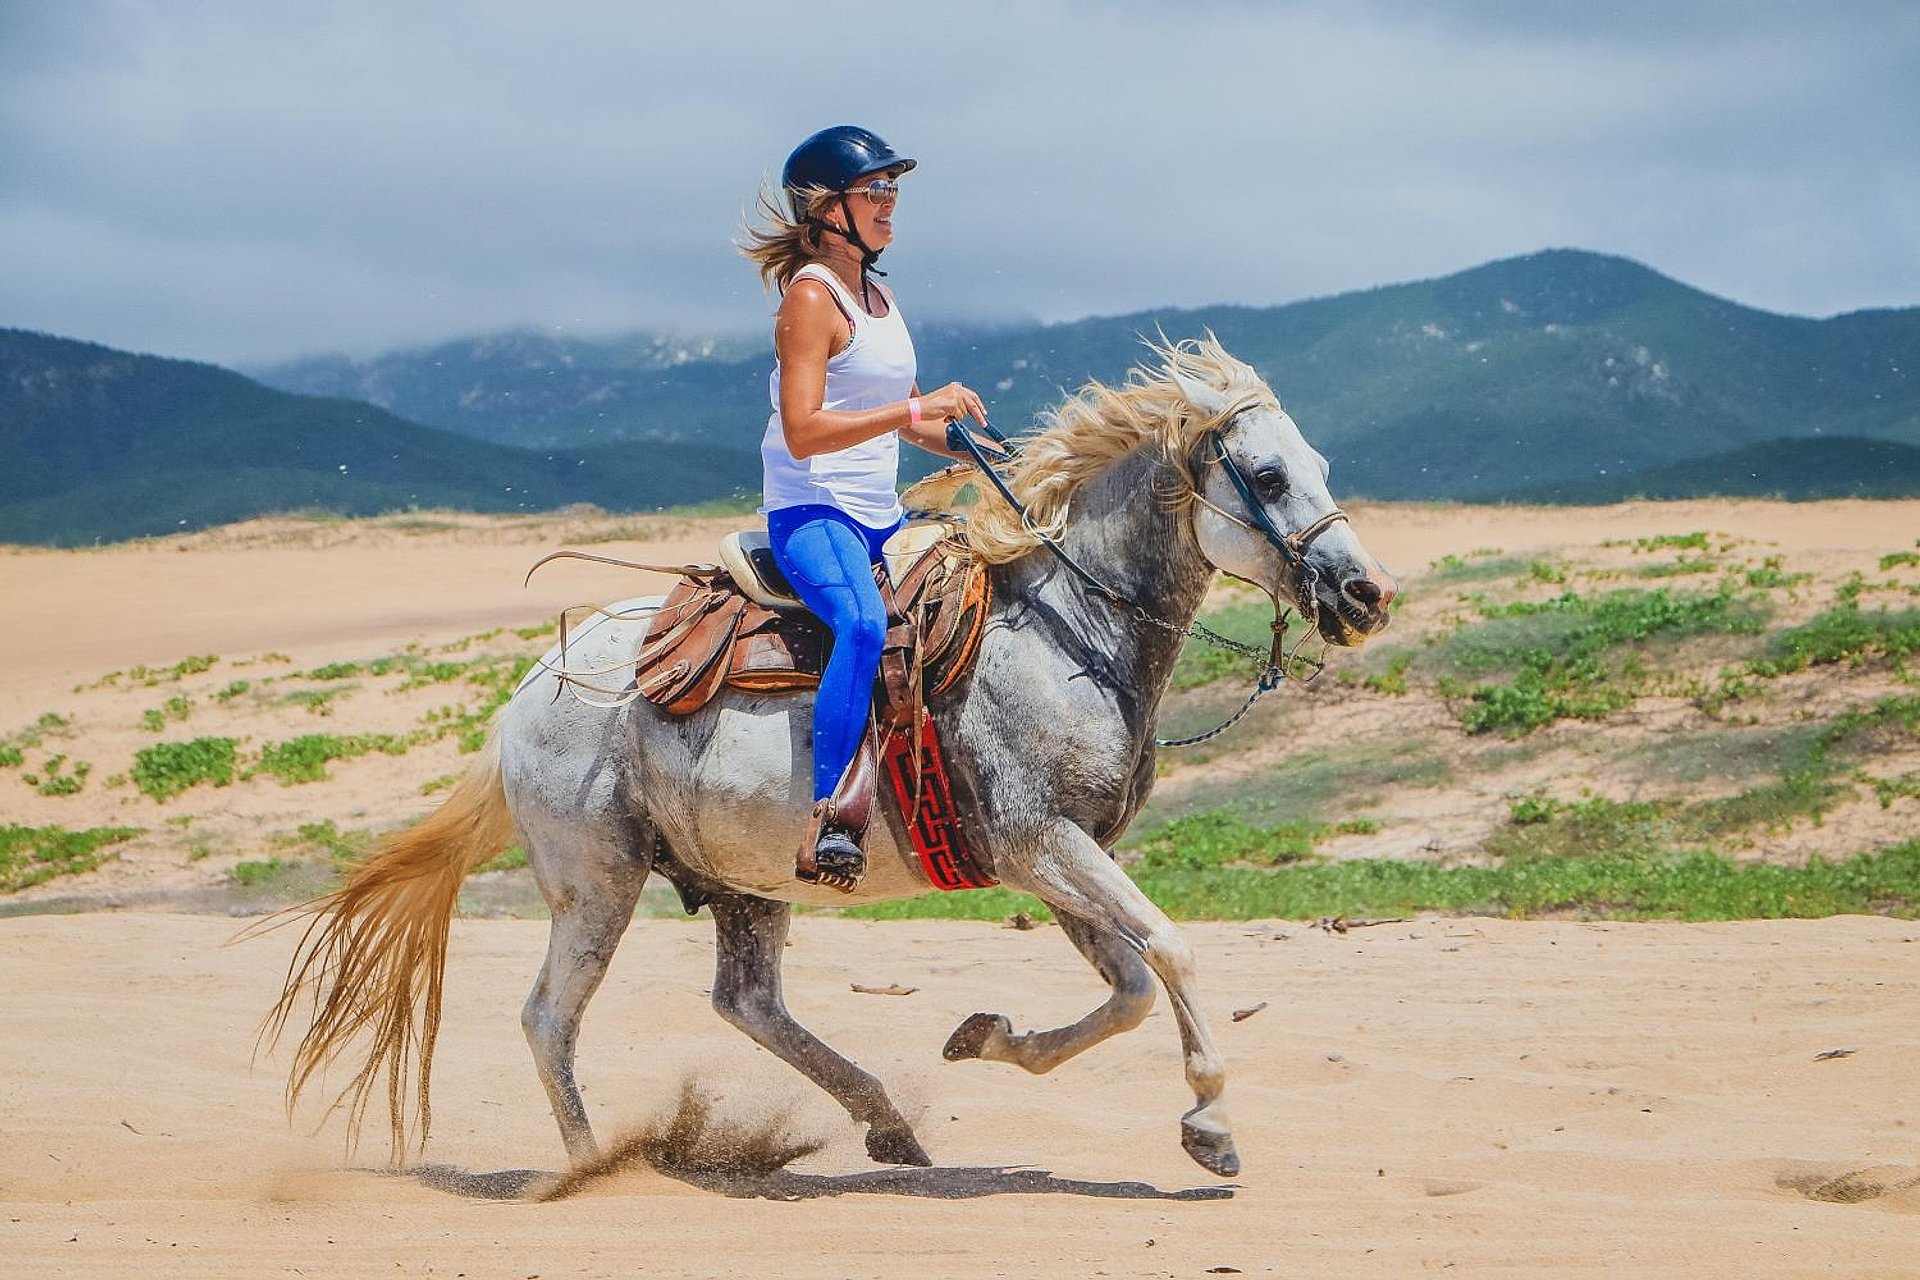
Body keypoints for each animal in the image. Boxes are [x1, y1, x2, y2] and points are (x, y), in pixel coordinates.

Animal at [262, 336, 1397, 1181]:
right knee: (552, 1018)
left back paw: (887, 1119)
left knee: (748, 1003)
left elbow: (1127, 986)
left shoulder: (1056, 854)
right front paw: (1210, 1124)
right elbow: (1170, 951)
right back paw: (589, 1167)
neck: (1065, 633)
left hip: (744, 880)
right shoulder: (1042, 840)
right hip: (597, 882)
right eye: (1266, 475)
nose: (1364, 593)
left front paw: (987, 1036)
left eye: (1323, 468)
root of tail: (526, 695)